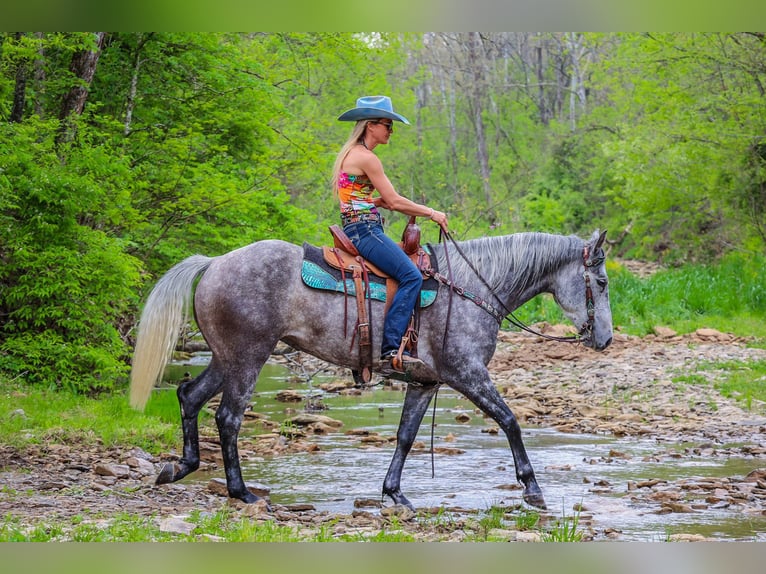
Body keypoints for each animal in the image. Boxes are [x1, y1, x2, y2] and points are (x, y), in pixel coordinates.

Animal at [129, 227, 616, 510]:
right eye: (603, 281)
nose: (606, 339)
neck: (472, 287)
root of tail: (214, 263)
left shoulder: (425, 382)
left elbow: (405, 436)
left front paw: (394, 493)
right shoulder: (467, 374)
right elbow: (510, 420)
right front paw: (533, 489)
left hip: (225, 357)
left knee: (190, 396)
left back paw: (180, 467)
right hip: (249, 356)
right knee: (228, 418)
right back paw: (241, 492)